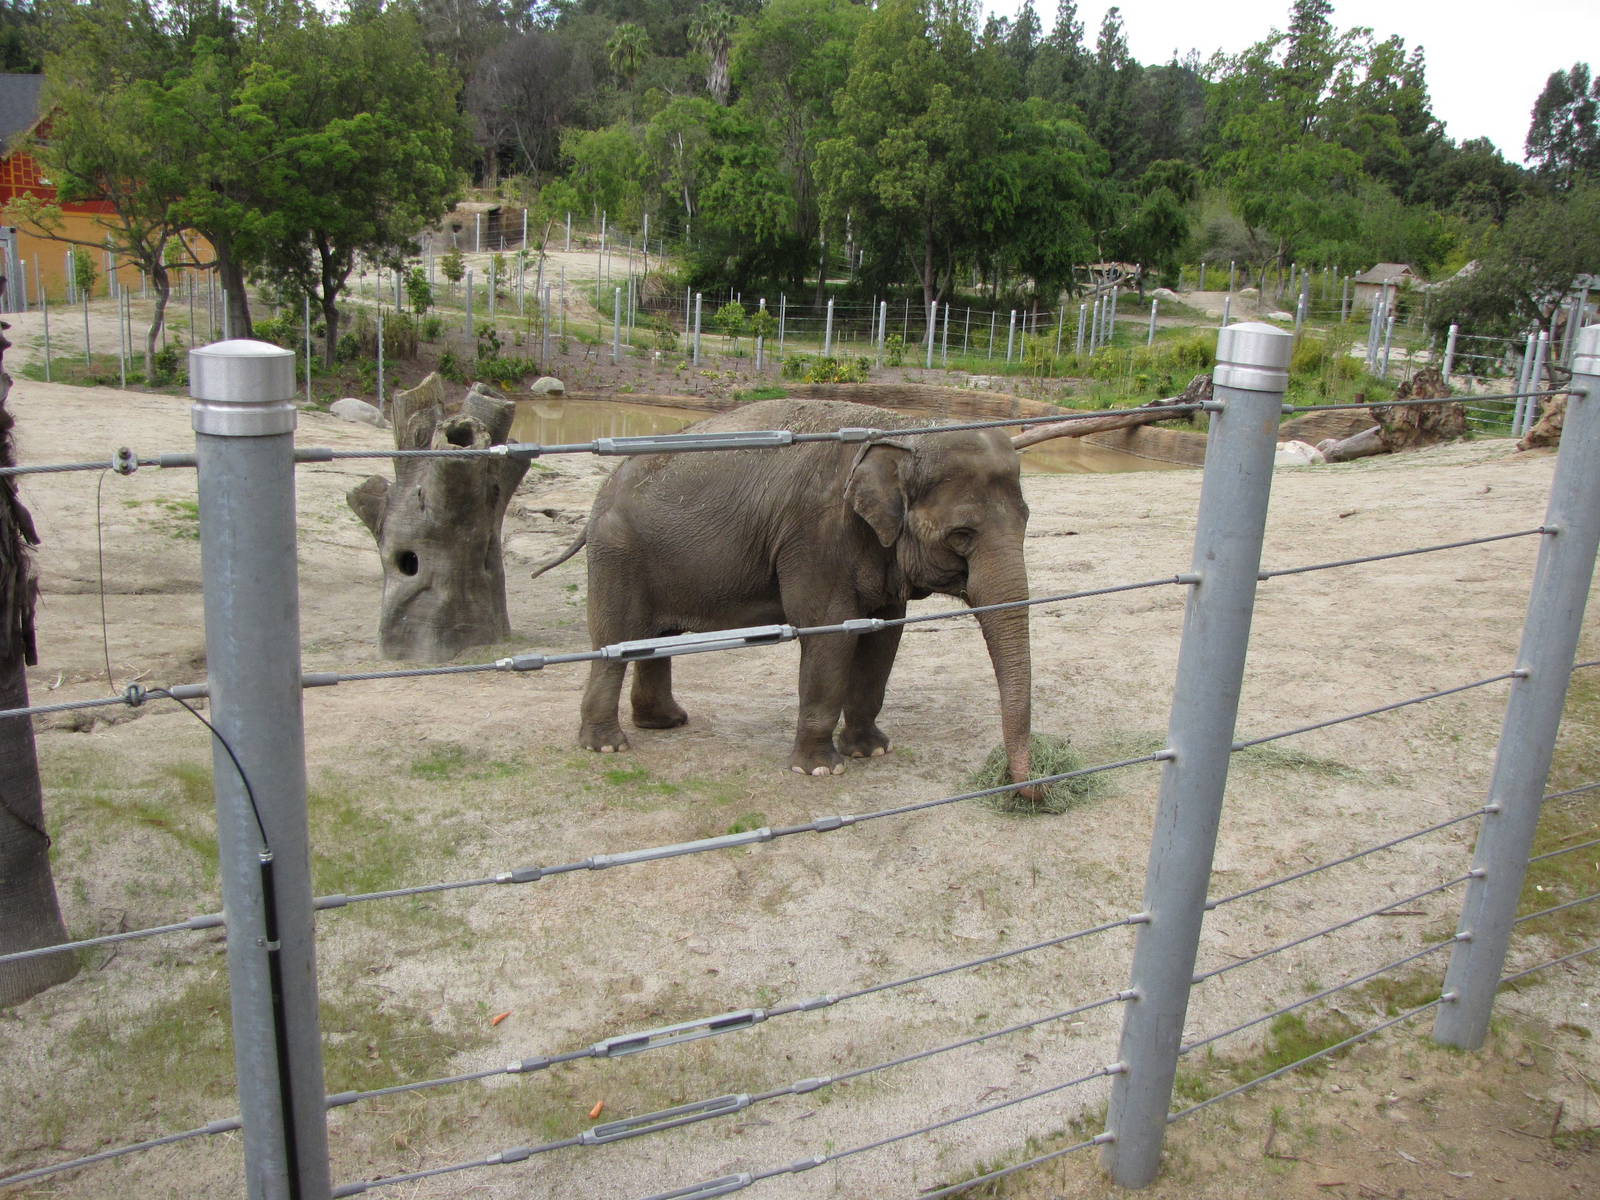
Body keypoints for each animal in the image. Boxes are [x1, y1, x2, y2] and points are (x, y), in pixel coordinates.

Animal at [530, 398, 1036, 793]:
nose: (1023, 790)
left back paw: (666, 722)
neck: (898, 427)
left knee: (654, 640)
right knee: (615, 640)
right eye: (962, 535)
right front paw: (819, 771)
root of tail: (601, 493)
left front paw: (871, 751)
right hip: (618, 554)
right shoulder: (814, 535)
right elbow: (828, 632)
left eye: (1027, 519)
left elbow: (884, 636)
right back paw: (607, 746)